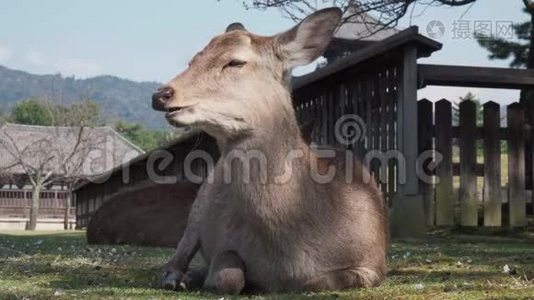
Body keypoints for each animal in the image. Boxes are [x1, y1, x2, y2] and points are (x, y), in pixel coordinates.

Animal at [151, 7, 390, 296]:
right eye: (193, 59)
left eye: (236, 62)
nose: (161, 95)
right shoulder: (224, 242)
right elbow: (229, 275)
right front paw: (204, 277)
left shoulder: (374, 264)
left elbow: (324, 279)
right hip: (198, 206)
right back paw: (176, 277)